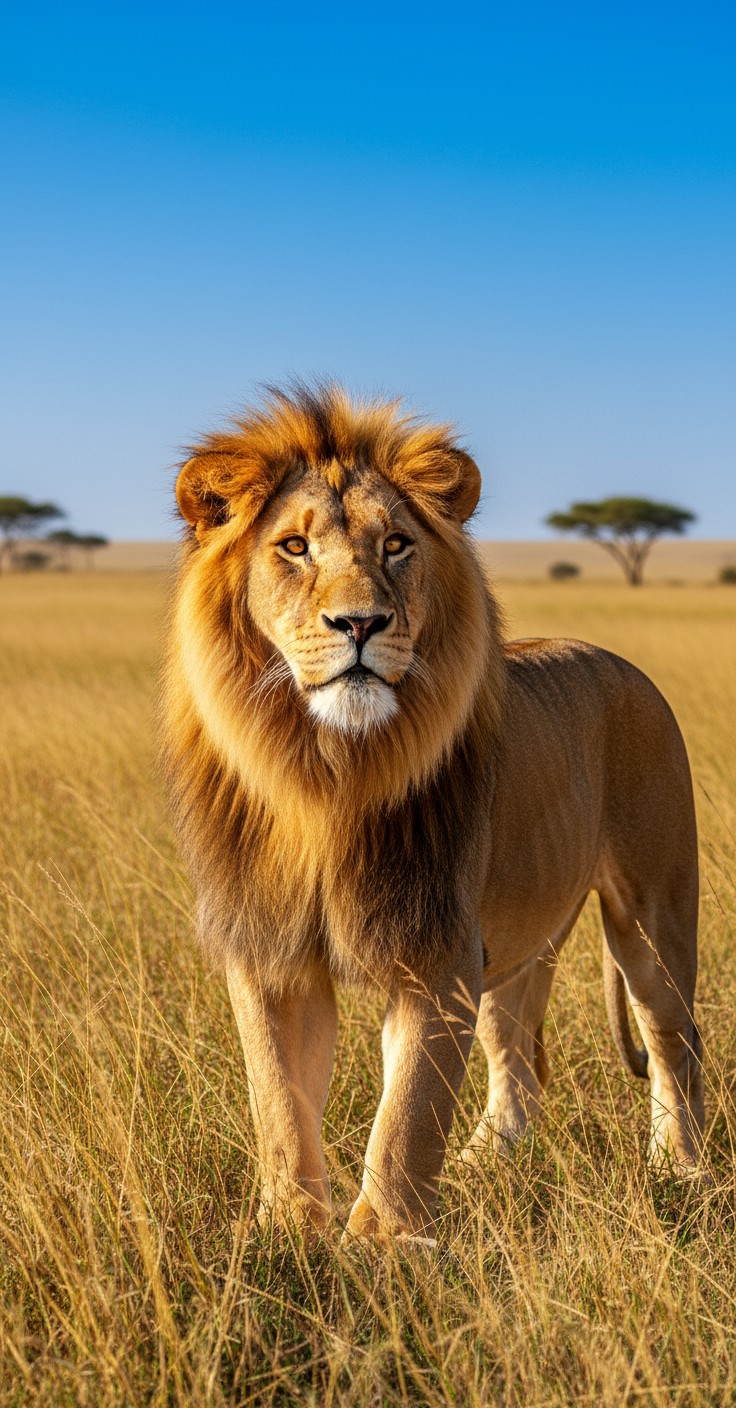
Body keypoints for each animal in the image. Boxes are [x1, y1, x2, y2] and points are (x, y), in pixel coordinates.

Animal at [162, 382, 704, 1245]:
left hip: (654, 912)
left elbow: (408, 1113)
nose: (359, 624)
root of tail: (614, 656)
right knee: (518, 1057)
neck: (328, 775)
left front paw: (385, 1245)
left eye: (395, 545)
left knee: (674, 1044)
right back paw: (488, 1162)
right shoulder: (274, 952)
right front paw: (288, 1233)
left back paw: (681, 1172)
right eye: (293, 547)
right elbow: (278, 1099)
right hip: (519, 941)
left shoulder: (437, 946)